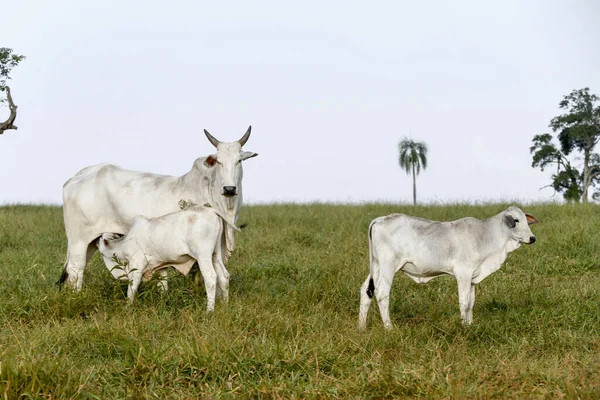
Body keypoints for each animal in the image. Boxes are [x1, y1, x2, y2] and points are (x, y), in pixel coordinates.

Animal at [58, 126, 258, 290]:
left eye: (239, 161)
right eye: (219, 161)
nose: (229, 189)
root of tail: (76, 178)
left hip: (91, 241)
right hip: (78, 240)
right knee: (76, 271)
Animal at [95, 206, 238, 312]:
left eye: (102, 252)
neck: (123, 245)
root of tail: (211, 211)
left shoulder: (136, 265)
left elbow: (132, 289)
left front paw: (128, 308)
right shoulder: (161, 268)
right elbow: (163, 287)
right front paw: (164, 303)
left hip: (203, 256)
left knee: (211, 278)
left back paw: (209, 310)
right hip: (215, 254)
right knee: (224, 276)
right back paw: (225, 305)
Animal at [356, 205, 540, 330]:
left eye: (526, 220)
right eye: (516, 220)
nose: (532, 238)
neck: (486, 235)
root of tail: (380, 219)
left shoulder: (472, 278)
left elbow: (471, 303)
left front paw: (469, 325)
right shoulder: (463, 274)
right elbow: (464, 302)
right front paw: (463, 326)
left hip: (376, 265)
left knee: (367, 290)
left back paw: (361, 327)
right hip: (388, 265)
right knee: (382, 293)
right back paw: (389, 327)